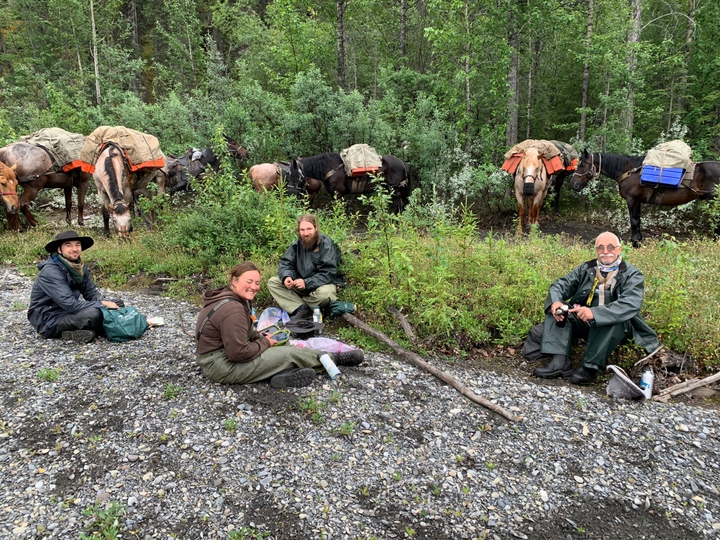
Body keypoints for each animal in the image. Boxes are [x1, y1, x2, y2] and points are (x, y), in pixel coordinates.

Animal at [568, 151, 720, 246]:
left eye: (582, 165)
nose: (573, 184)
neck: (628, 171)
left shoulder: (632, 200)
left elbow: (634, 221)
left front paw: (635, 242)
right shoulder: (638, 201)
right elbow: (638, 221)